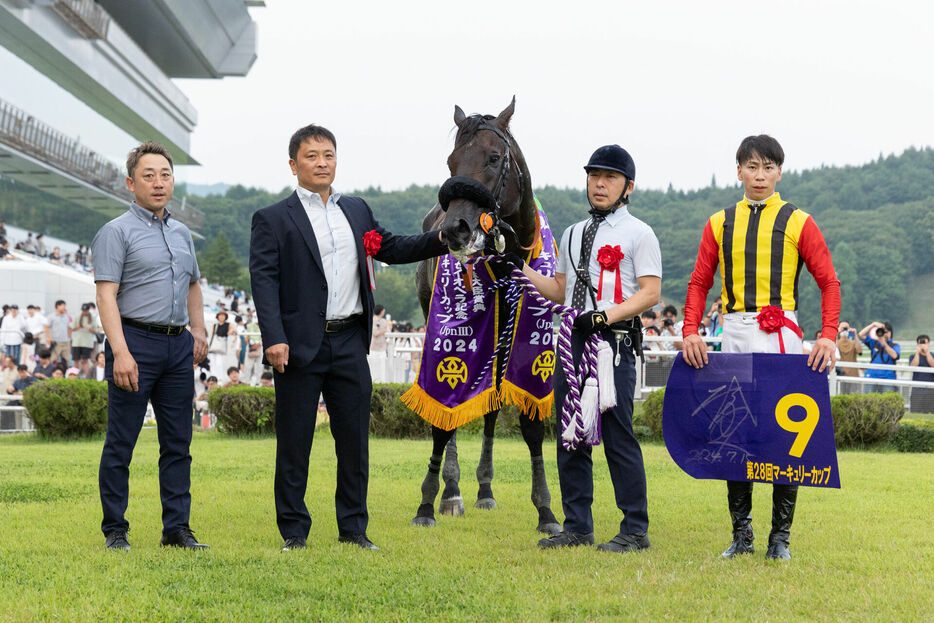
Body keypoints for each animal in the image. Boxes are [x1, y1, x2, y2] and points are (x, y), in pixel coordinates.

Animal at [412, 98, 560, 536]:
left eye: (494, 158)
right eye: (451, 161)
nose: (455, 229)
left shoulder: (524, 341)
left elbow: (526, 419)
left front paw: (546, 511)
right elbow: (443, 415)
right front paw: (432, 501)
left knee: (491, 405)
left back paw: (484, 489)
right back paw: (453, 490)